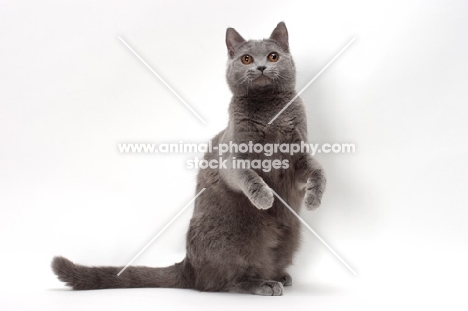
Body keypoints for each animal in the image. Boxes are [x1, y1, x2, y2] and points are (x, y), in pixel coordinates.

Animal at [51, 22, 326, 298]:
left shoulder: (298, 155)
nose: (260, 67)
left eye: (273, 56)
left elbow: (319, 171)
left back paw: (279, 276)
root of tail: (189, 267)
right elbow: (248, 176)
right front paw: (264, 198)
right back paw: (262, 284)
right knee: (226, 280)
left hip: (291, 233)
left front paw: (314, 198)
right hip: (229, 236)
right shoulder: (233, 157)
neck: (270, 113)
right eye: (246, 59)